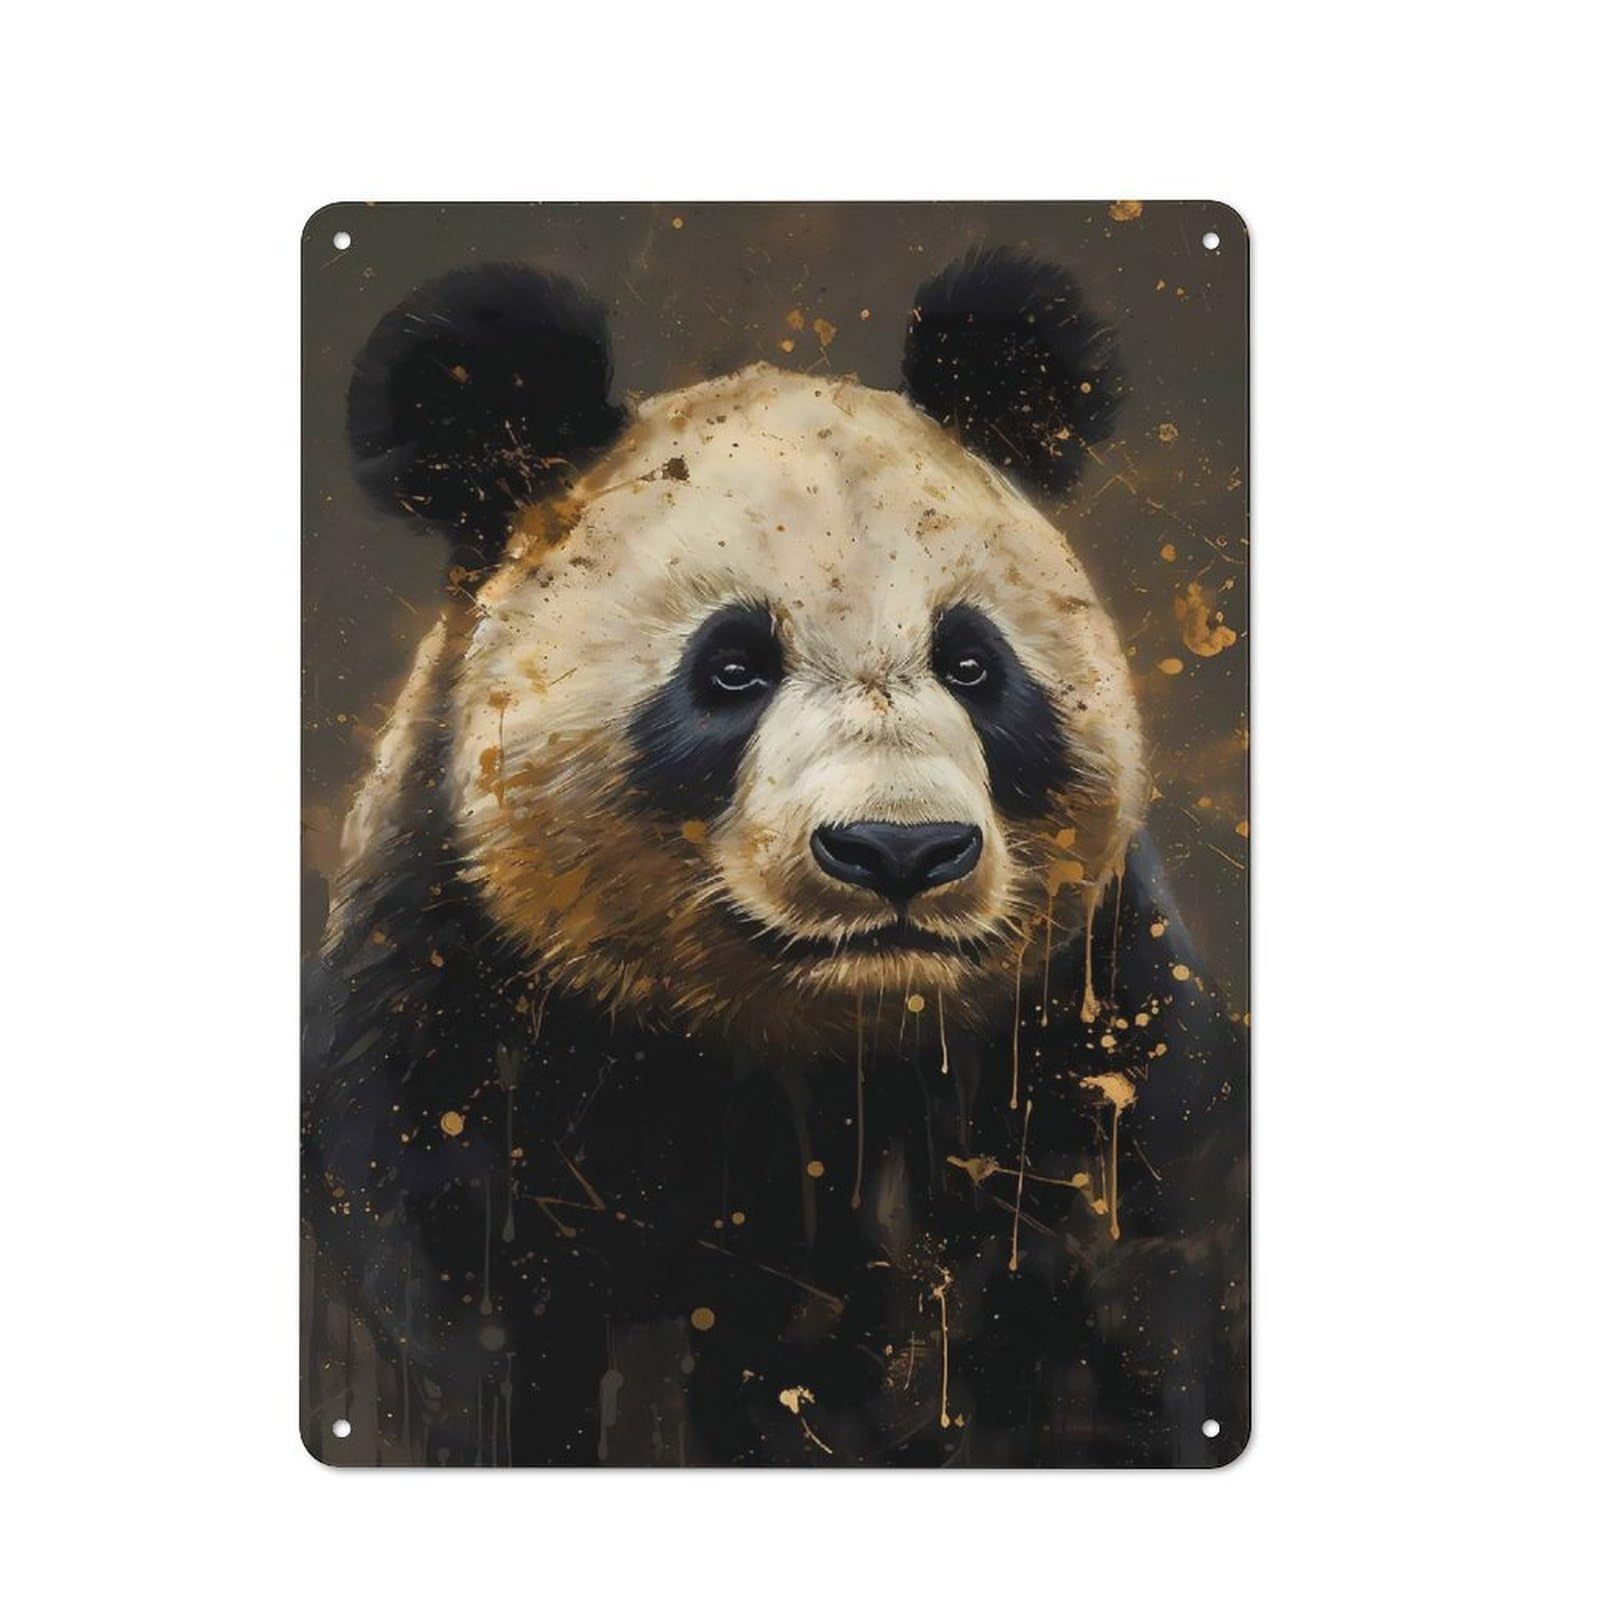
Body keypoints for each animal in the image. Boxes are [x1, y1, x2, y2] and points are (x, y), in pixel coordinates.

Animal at [302, 250, 1248, 1467]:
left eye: (974, 663)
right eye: (732, 668)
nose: (900, 850)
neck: (821, 1050)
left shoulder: (1093, 1033)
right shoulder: (457, 1019)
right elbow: (470, 1325)